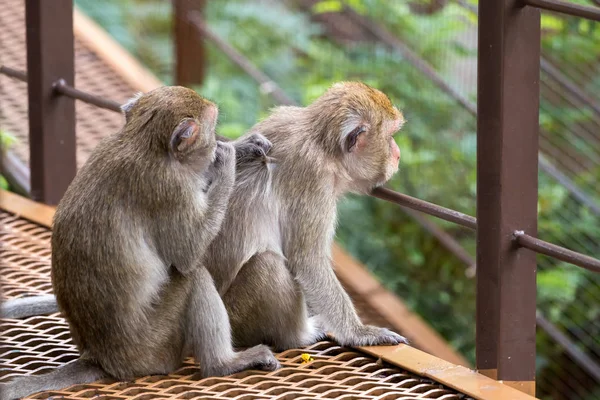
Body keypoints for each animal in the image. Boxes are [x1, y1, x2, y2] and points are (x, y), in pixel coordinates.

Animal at [204, 81, 410, 350]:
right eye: (390, 136)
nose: (397, 153)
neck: (321, 144)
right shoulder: (315, 180)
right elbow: (308, 262)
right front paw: (360, 332)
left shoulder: (282, 117)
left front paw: (244, 149)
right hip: (237, 318)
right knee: (267, 263)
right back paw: (299, 335)